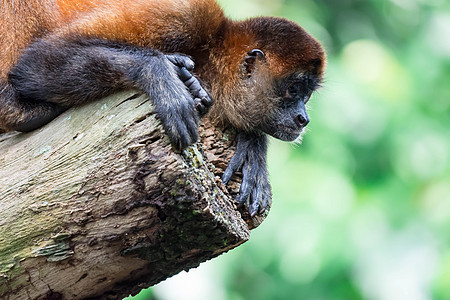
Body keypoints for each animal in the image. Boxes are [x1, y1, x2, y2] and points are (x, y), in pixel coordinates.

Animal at [0, 0, 324, 217]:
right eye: (294, 90)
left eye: (306, 96)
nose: (303, 118)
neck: (210, 52)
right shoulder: (185, 16)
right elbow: (34, 64)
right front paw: (158, 71)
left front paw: (254, 145)